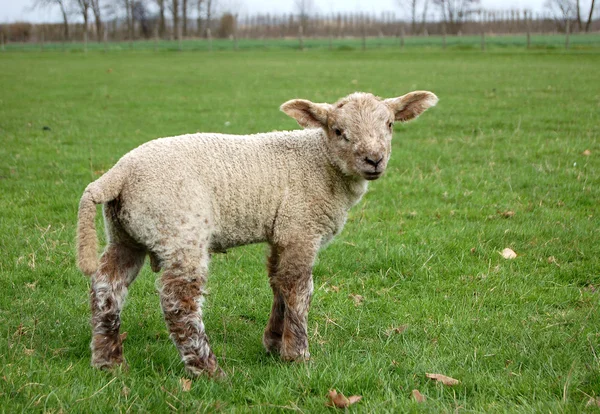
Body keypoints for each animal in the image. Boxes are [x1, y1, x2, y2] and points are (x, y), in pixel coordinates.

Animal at [77, 90, 438, 376]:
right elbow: (299, 290)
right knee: (179, 301)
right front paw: (297, 354)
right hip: (179, 228)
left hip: (126, 232)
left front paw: (274, 343)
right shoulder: (301, 227)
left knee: (107, 286)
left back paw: (109, 361)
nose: (373, 159)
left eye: (389, 125)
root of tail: (118, 174)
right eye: (338, 131)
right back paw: (208, 370)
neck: (320, 163)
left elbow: (278, 283)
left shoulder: (283, 231)